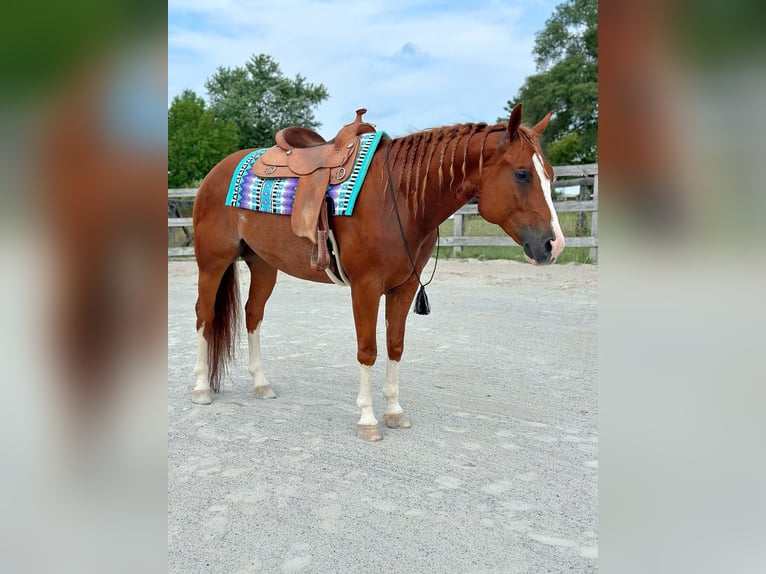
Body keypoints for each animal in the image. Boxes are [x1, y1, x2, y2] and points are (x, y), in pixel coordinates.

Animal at [191, 103, 564, 441]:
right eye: (522, 173)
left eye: (550, 175)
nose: (554, 244)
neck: (399, 197)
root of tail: (215, 173)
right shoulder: (366, 287)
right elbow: (367, 350)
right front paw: (368, 420)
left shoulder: (405, 286)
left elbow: (395, 346)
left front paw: (394, 412)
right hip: (212, 263)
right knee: (204, 316)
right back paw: (201, 388)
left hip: (264, 265)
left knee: (252, 314)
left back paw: (261, 383)